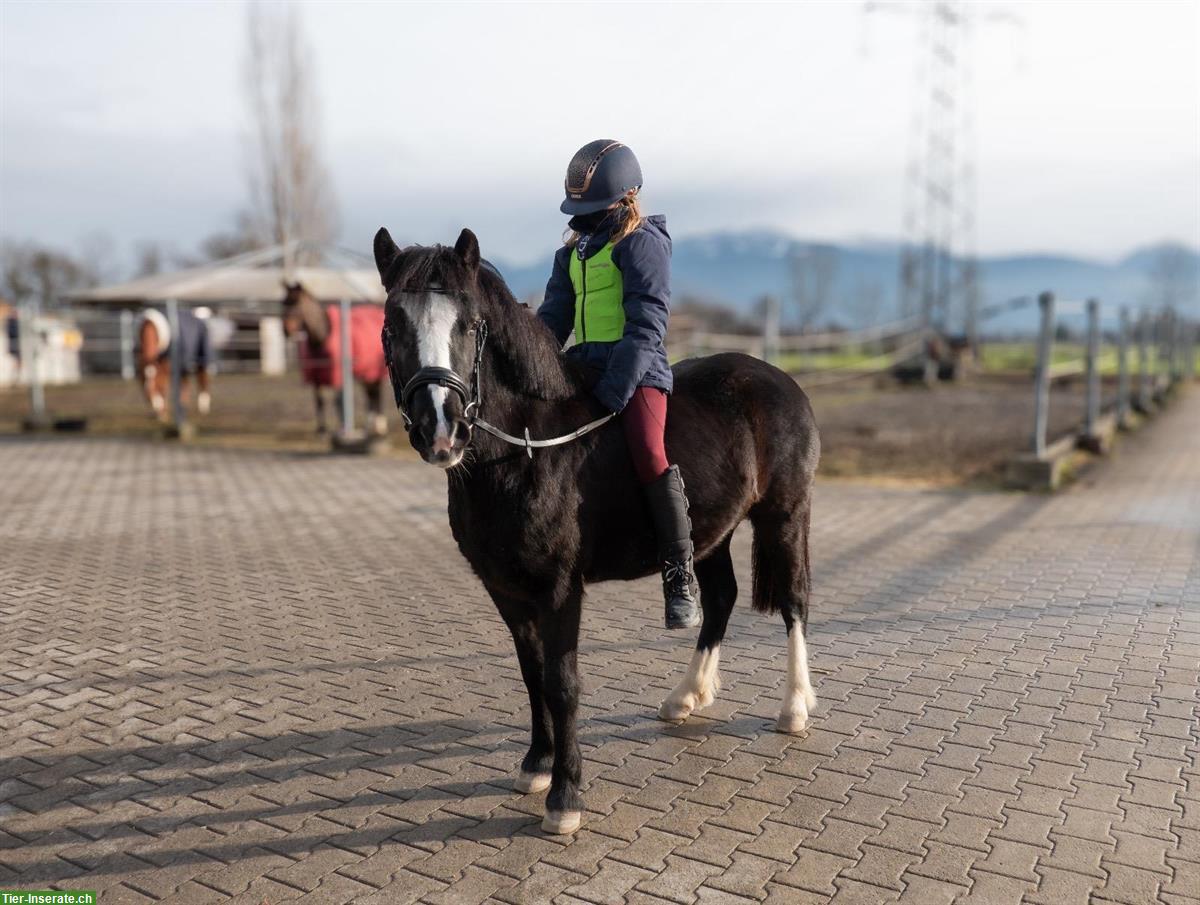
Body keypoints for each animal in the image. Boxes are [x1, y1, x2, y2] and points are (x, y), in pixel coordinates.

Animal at [280, 283, 388, 434]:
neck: (322, 337)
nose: (286, 330)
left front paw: (341, 428)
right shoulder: (316, 377)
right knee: (370, 394)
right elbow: (319, 400)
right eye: (283, 303)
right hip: (365, 371)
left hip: (373, 370)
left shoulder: (337, 376)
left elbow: (338, 402)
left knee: (375, 393)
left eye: (296, 304)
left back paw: (379, 424)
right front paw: (321, 429)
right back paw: (369, 425)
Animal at [374, 226, 825, 830]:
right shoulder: (506, 589)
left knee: (795, 600)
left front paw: (566, 796)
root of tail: (778, 378)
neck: (527, 448)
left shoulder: (560, 588)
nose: (440, 430)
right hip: (713, 532)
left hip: (785, 513)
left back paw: (794, 707)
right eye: (392, 325)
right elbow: (532, 674)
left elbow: (562, 684)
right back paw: (686, 696)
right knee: (721, 601)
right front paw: (536, 765)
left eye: (469, 324)